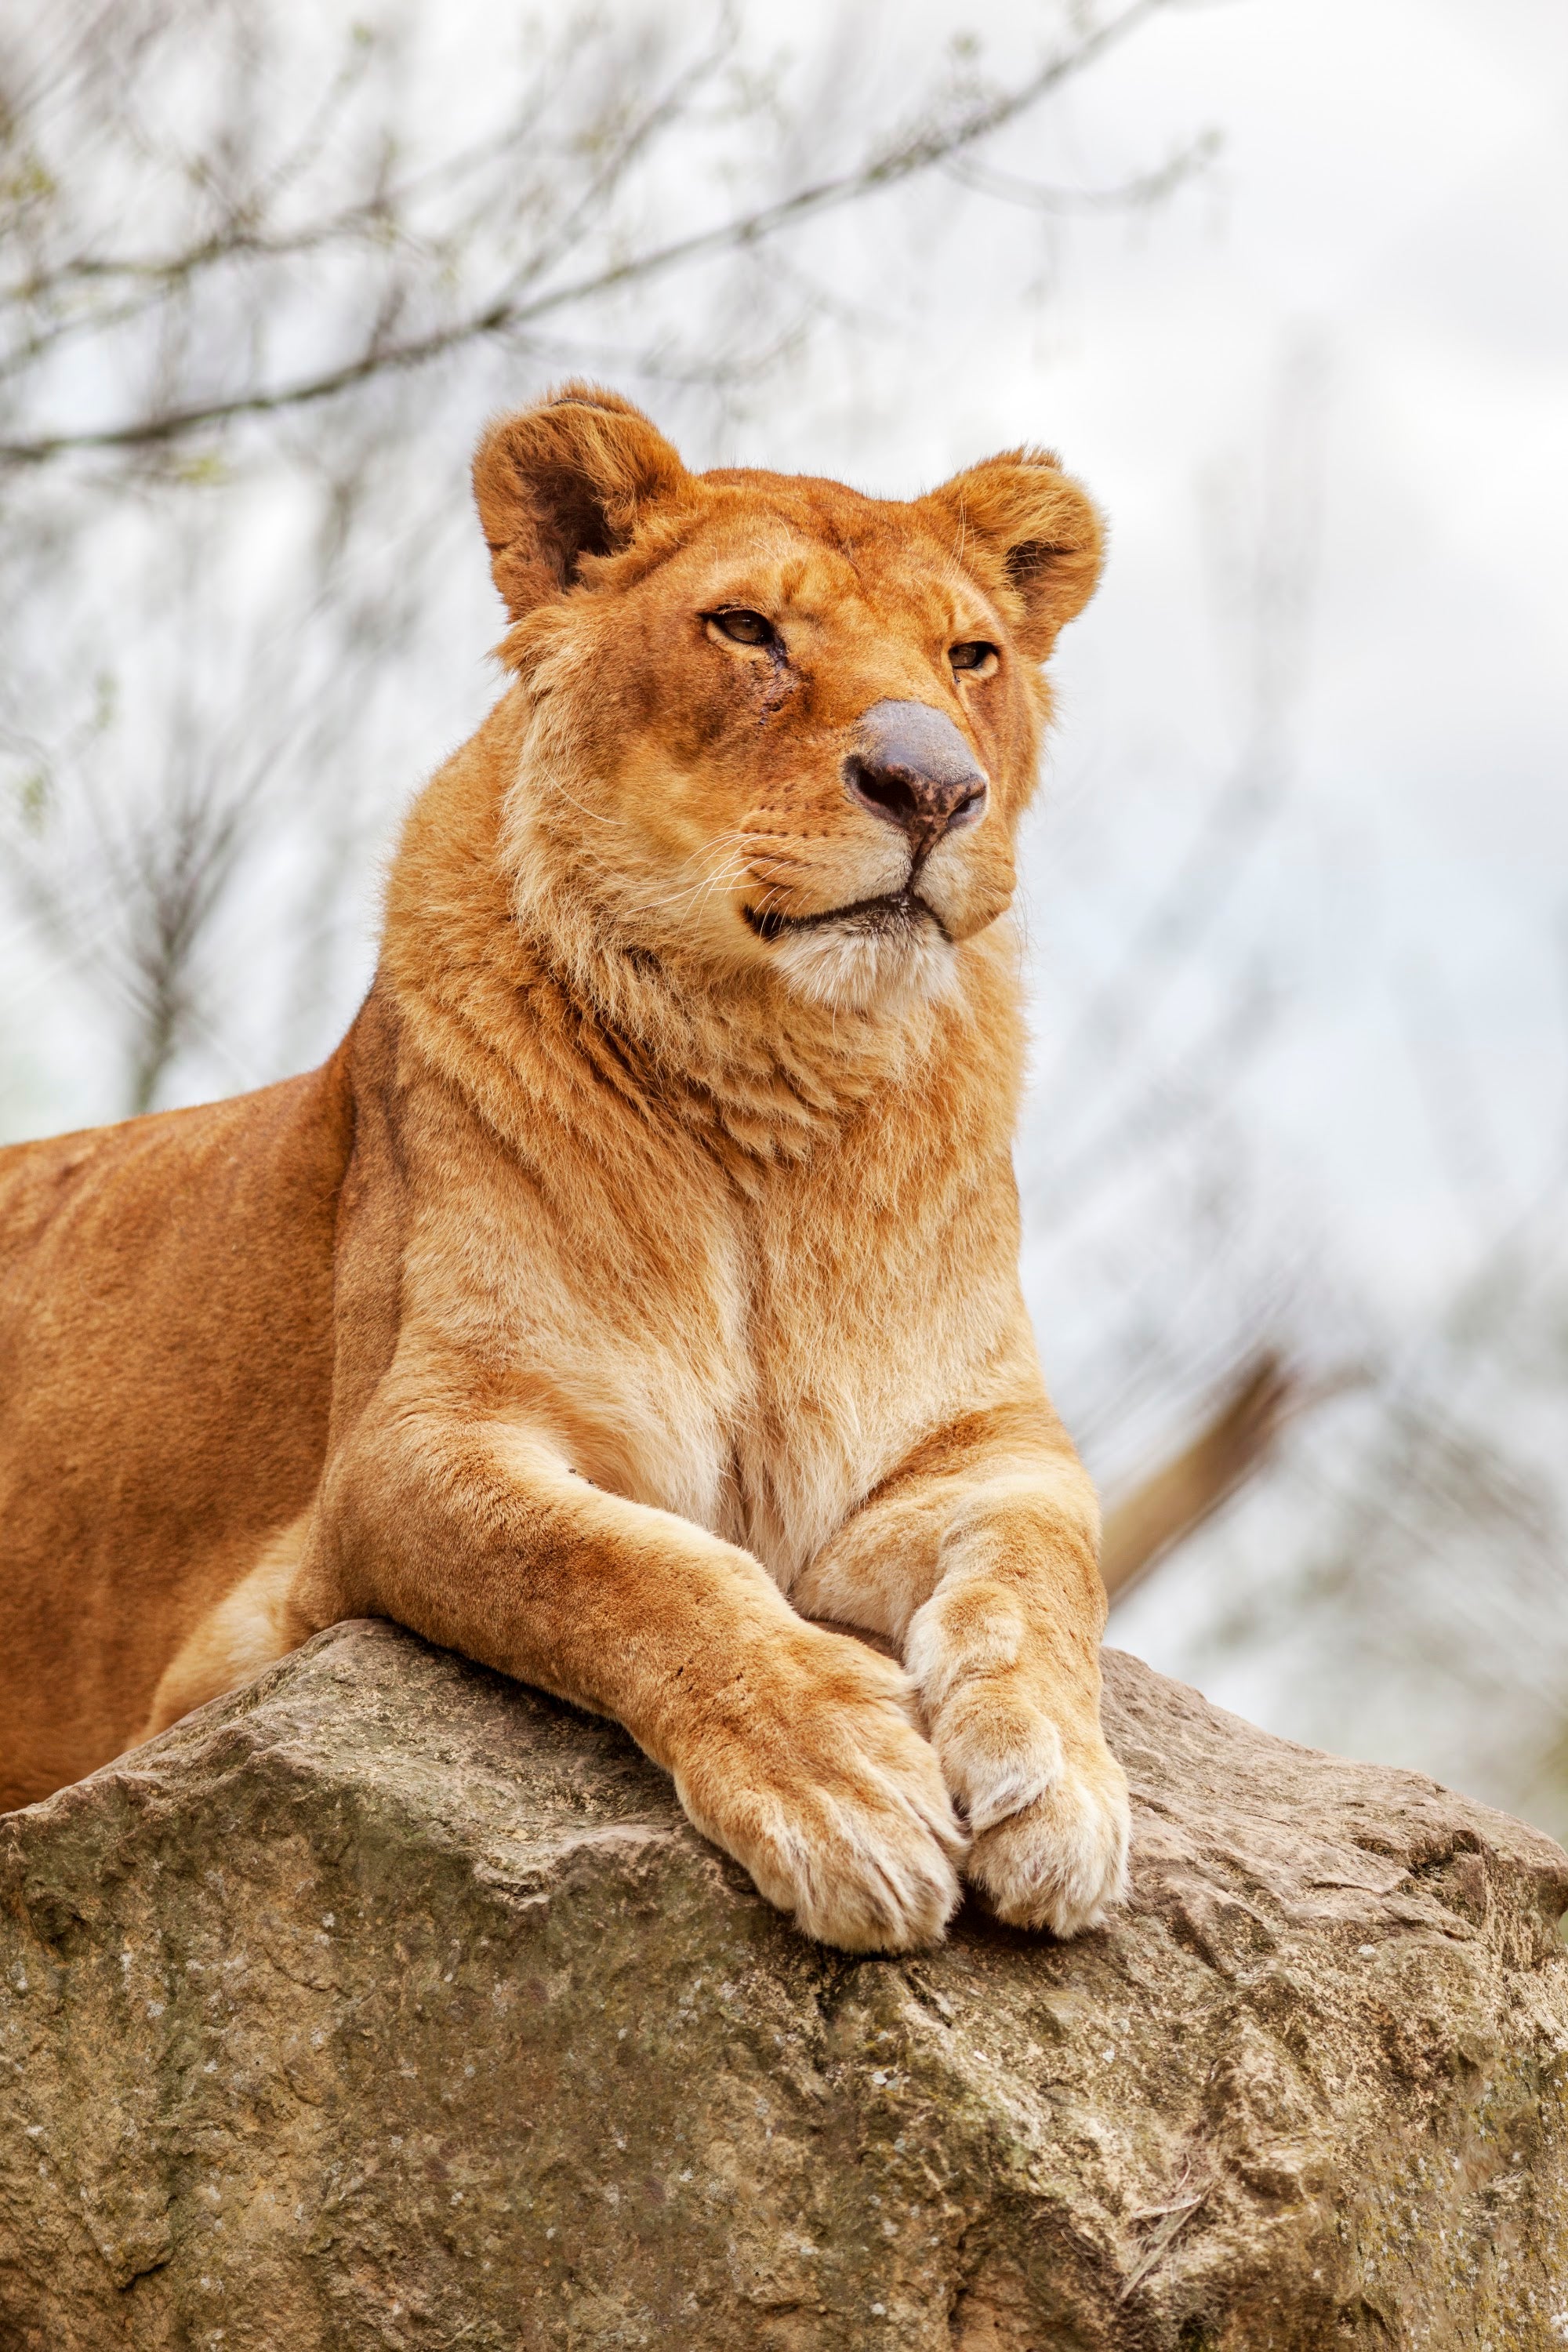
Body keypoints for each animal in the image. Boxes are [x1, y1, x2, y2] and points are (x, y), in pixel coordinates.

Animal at [0, 384, 1129, 1952]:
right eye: (747, 629)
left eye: (972, 658)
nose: (935, 788)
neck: (777, 1088)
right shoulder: (403, 1458)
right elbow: (630, 1569)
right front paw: (840, 1782)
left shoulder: (981, 1442)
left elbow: (1046, 1570)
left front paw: (1061, 1787)